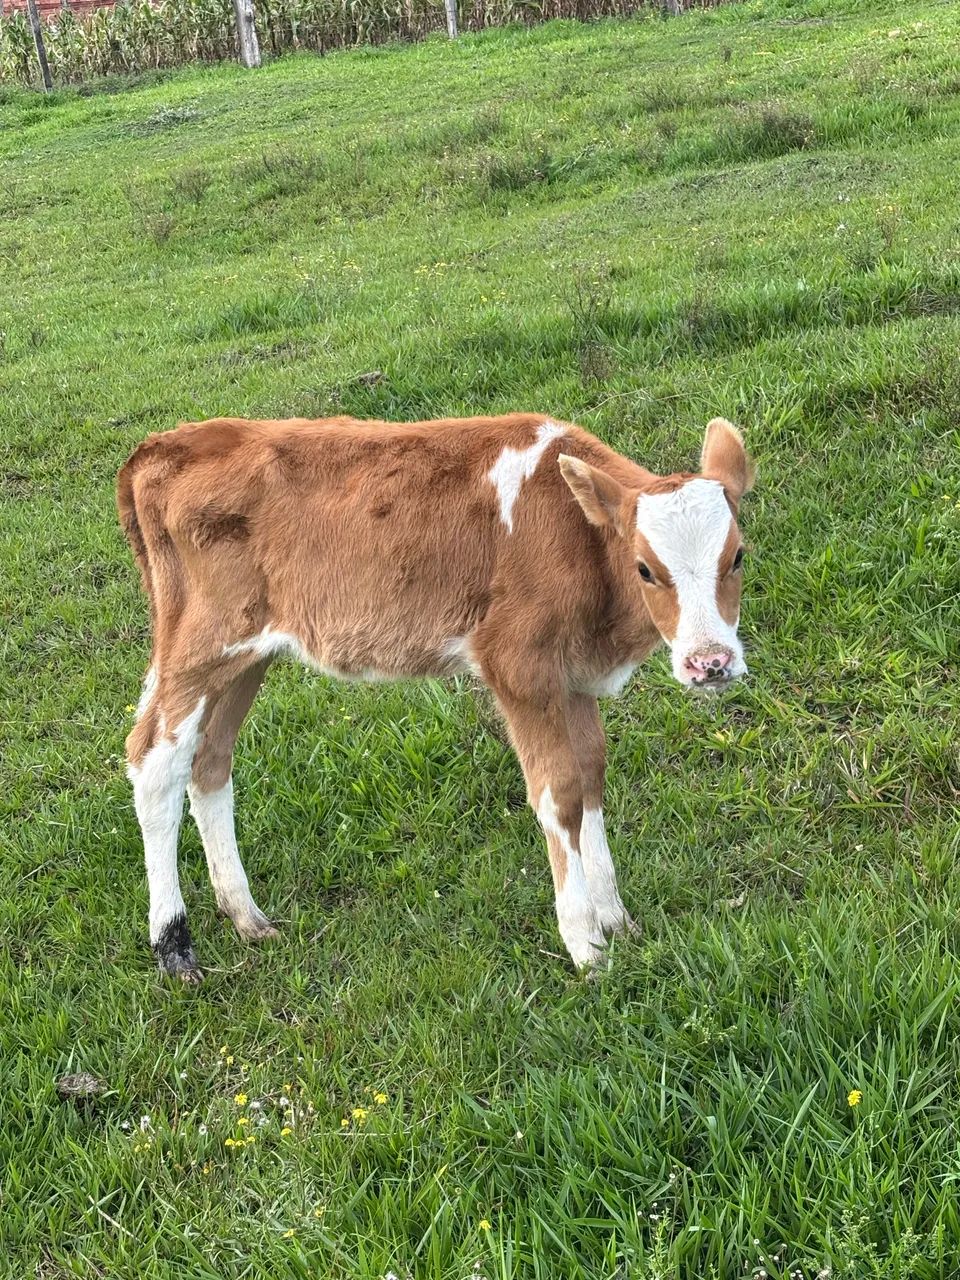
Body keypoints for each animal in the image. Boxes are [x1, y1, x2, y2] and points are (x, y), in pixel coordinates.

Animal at [118, 412, 754, 981]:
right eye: (645, 568)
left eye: (738, 556)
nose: (710, 663)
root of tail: (164, 444)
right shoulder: (519, 666)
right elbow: (560, 796)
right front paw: (586, 946)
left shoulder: (572, 675)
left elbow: (591, 776)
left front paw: (617, 920)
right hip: (202, 644)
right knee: (155, 761)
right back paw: (173, 943)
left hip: (248, 656)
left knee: (210, 760)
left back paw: (246, 916)